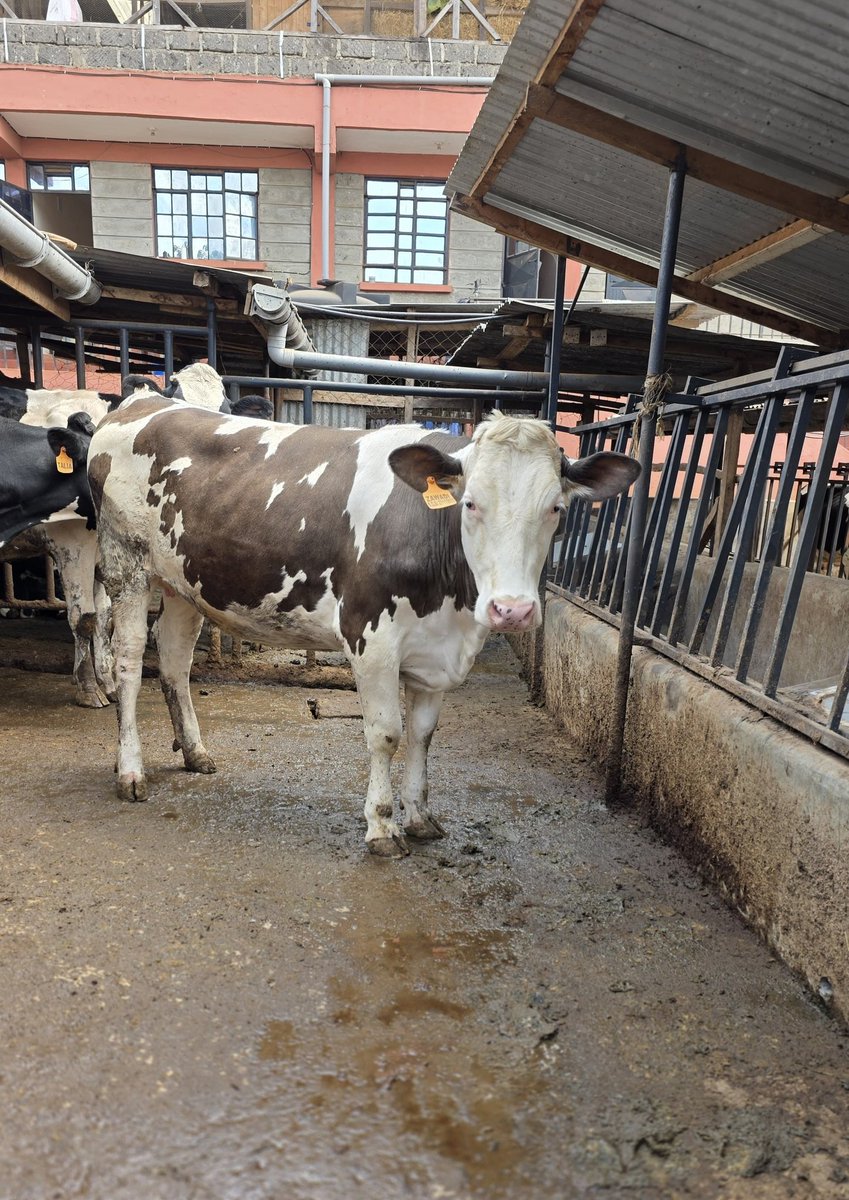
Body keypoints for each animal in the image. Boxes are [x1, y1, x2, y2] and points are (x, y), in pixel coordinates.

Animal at [88, 399, 639, 856]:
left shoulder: (433, 654)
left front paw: (419, 818)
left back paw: (195, 752)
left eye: (556, 508)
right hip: (126, 564)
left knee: (175, 662)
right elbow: (387, 734)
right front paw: (381, 826)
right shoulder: (370, 636)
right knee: (130, 663)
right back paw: (130, 770)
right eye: (471, 503)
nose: (513, 610)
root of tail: (142, 401)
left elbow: (422, 735)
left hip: (184, 582)